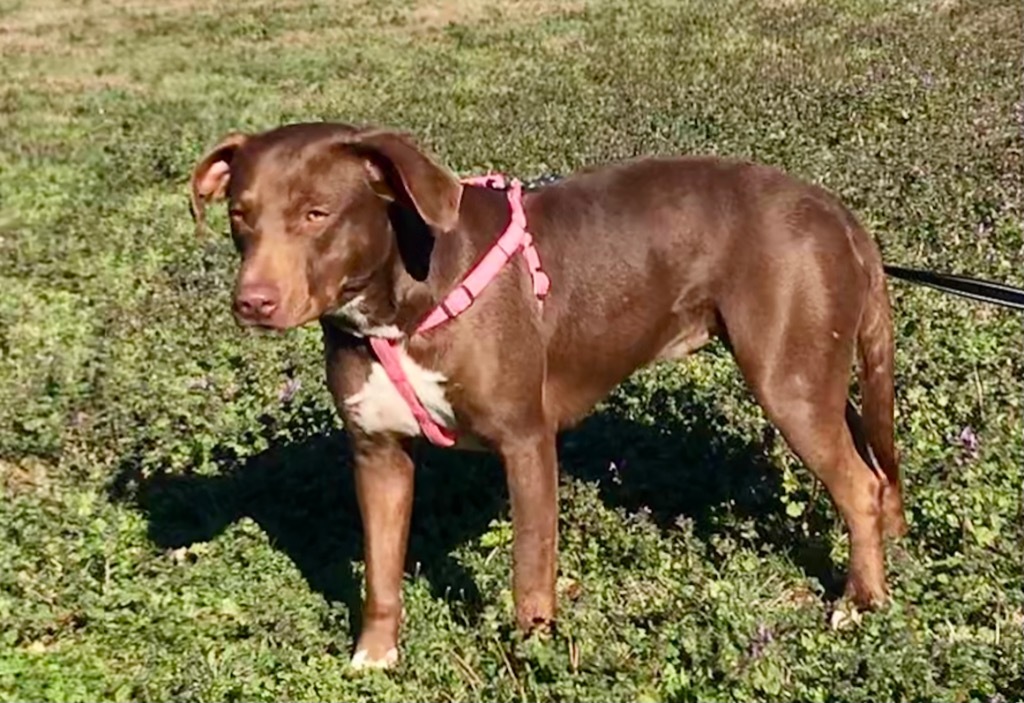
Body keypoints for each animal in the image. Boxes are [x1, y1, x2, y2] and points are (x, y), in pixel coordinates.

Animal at [190, 122, 905, 671]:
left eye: (316, 213)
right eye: (239, 217)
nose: (252, 302)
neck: (399, 304)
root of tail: (835, 209)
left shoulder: (525, 443)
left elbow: (530, 571)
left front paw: (533, 656)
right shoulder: (378, 457)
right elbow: (381, 572)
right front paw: (374, 658)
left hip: (789, 387)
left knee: (859, 487)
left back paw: (860, 604)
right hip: (816, 376)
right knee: (871, 468)